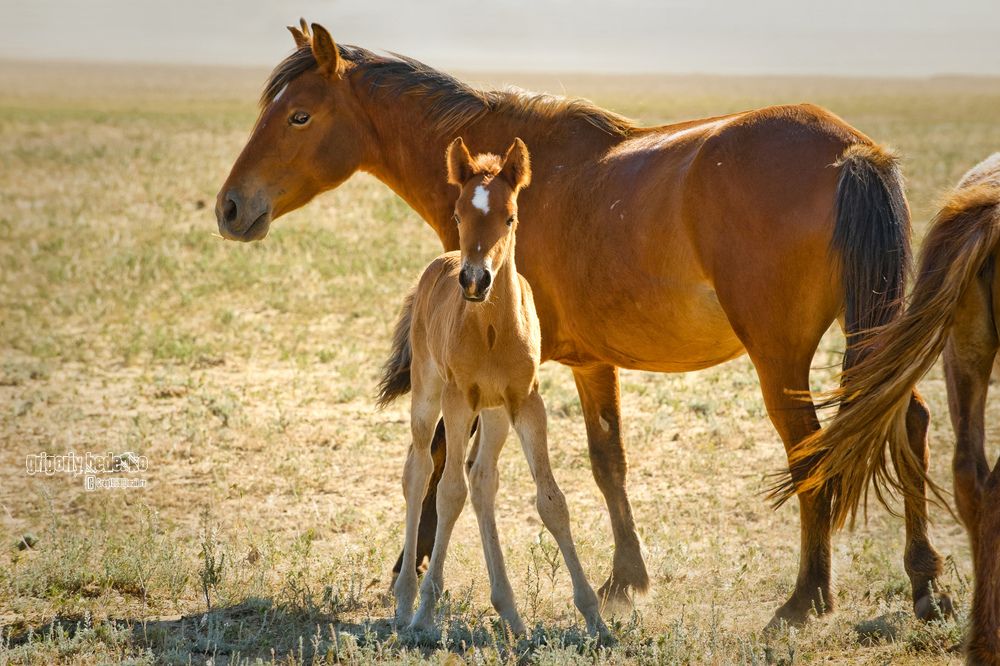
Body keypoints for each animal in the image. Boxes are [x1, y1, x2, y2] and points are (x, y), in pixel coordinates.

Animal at [377, 136, 608, 638]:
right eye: (458, 214)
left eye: (510, 216)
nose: (475, 280)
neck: (491, 332)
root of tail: (441, 263)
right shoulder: (458, 400)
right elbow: (448, 493)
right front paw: (425, 610)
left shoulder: (527, 402)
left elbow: (551, 500)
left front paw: (597, 619)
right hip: (428, 393)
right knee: (419, 471)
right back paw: (405, 602)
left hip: (497, 413)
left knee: (483, 481)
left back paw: (512, 614)